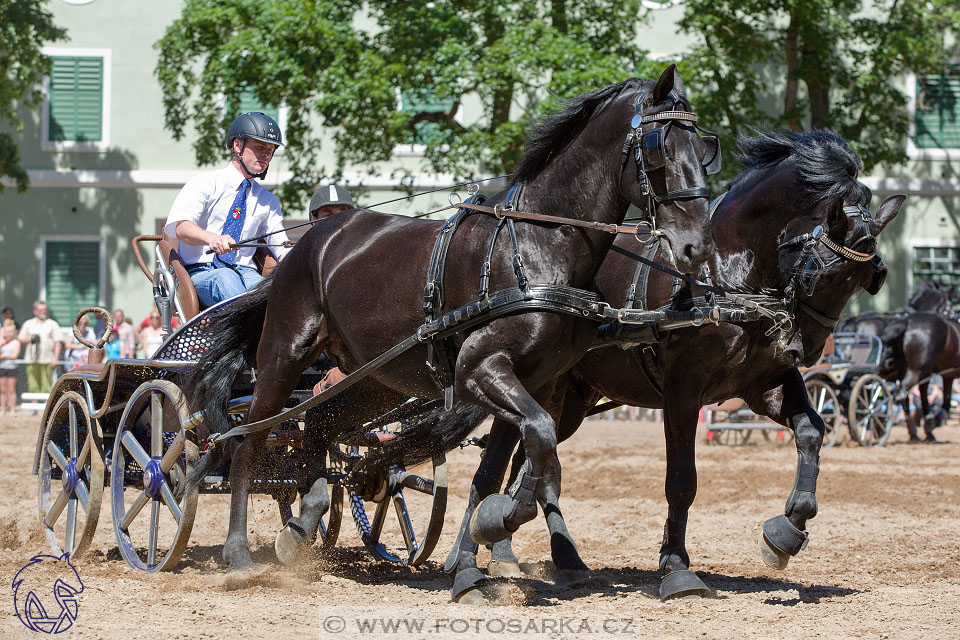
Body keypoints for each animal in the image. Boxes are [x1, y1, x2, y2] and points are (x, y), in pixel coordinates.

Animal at [186, 67, 712, 572]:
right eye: (660, 148)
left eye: (705, 149)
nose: (697, 247)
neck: (537, 246)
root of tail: (308, 242)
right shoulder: (480, 368)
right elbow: (539, 443)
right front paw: (497, 526)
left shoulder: (537, 381)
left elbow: (510, 461)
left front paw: (484, 541)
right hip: (283, 355)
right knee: (248, 441)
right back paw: (237, 553)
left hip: (374, 378)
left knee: (316, 426)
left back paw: (303, 524)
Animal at [436, 129, 900, 600]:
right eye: (821, 273)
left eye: (867, 280)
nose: (803, 349)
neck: (725, 275)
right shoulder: (683, 391)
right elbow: (681, 480)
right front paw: (676, 566)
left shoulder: (764, 383)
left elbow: (811, 431)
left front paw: (786, 531)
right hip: (541, 388)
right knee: (518, 463)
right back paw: (473, 555)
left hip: (570, 401)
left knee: (528, 462)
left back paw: (527, 554)